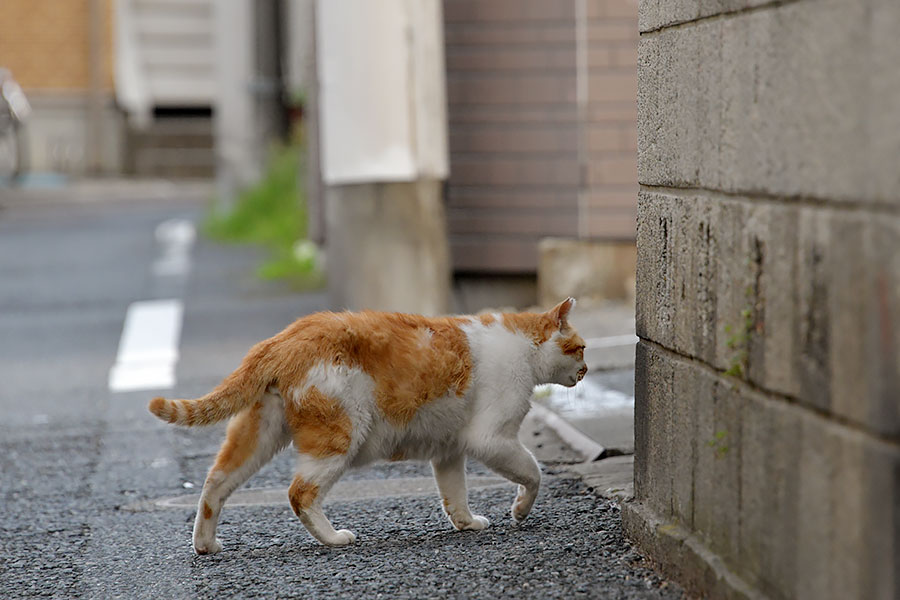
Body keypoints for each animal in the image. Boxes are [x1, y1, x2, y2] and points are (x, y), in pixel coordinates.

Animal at [149, 298, 584, 556]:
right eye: (580, 348)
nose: (585, 370)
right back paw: (333, 538)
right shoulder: (492, 439)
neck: (521, 348)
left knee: (215, 483)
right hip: (339, 437)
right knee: (299, 493)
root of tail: (281, 340)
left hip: (258, 436)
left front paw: (466, 524)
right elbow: (533, 473)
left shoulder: (448, 451)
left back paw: (205, 544)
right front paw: (520, 510)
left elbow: (454, 495)